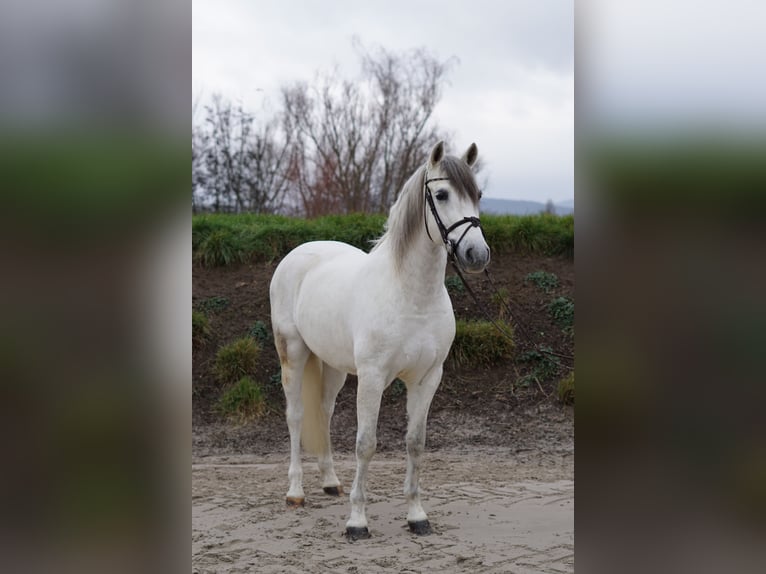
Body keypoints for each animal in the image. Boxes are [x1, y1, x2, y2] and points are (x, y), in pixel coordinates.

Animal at [270, 141, 488, 540]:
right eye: (441, 194)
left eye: (477, 194)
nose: (476, 255)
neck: (411, 294)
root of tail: (299, 253)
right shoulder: (372, 378)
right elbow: (366, 444)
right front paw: (357, 521)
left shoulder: (427, 378)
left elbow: (415, 443)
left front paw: (417, 516)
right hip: (292, 353)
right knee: (296, 416)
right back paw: (295, 492)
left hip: (334, 367)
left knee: (323, 413)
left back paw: (330, 482)